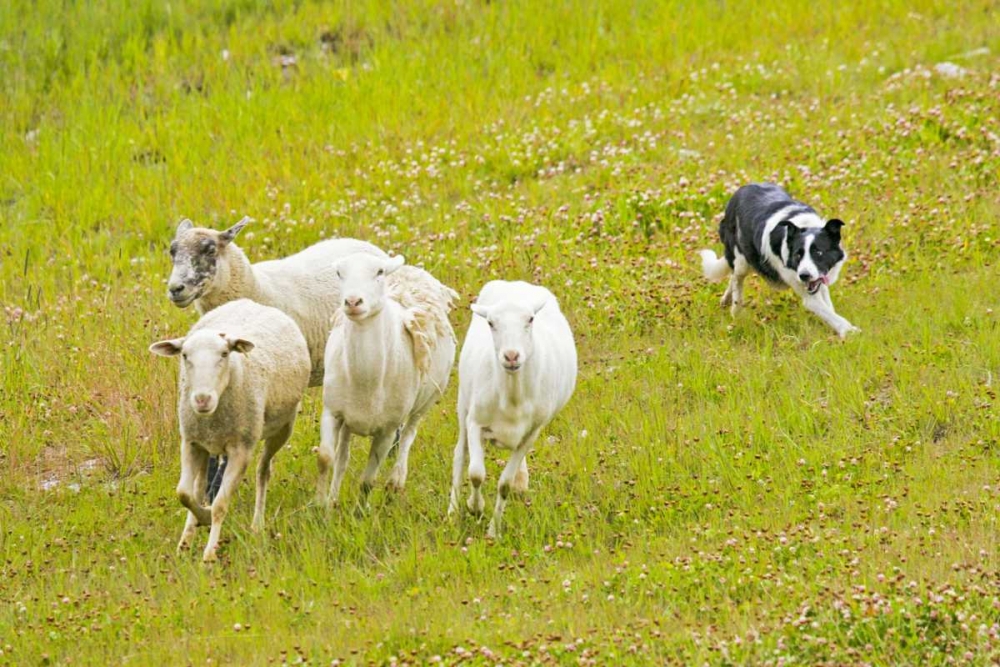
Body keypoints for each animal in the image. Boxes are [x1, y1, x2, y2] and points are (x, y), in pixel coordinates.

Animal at [150, 299, 310, 562]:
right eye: (185, 355)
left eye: (224, 354)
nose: (202, 399)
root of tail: (253, 302)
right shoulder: (190, 442)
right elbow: (183, 493)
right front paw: (196, 525)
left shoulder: (240, 450)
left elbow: (220, 504)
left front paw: (209, 553)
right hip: (207, 444)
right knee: (198, 486)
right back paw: (187, 539)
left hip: (281, 429)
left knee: (263, 471)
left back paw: (256, 524)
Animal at [316, 253, 458, 507]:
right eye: (339, 273)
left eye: (379, 272)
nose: (353, 301)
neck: (365, 379)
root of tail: (413, 270)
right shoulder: (332, 412)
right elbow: (326, 458)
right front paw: (321, 505)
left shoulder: (387, 430)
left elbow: (367, 480)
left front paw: (360, 511)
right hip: (349, 419)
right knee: (342, 458)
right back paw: (333, 498)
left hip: (425, 401)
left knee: (409, 435)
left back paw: (395, 481)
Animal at [448, 281, 577, 538]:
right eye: (491, 323)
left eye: (530, 319)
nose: (511, 355)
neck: (512, 396)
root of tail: (517, 283)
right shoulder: (475, 421)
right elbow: (475, 473)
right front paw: (474, 507)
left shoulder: (529, 435)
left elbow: (504, 485)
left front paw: (493, 532)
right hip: (463, 403)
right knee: (460, 455)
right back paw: (452, 512)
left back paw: (520, 482)